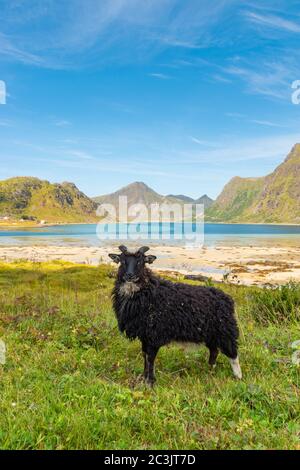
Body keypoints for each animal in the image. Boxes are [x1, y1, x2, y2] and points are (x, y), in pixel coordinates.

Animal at [109, 246, 243, 386]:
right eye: (122, 261)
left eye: (141, 262)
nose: (130, 275)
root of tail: (227, 299)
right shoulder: (145, 335)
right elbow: (145, 356)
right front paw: (144, 378)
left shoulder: (154, 335)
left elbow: (150, 358)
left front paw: (150, 382)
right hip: (211, 334)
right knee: (214, 351)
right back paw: (210, 371)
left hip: (225, 330)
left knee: (233, 354)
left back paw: (238, 377)